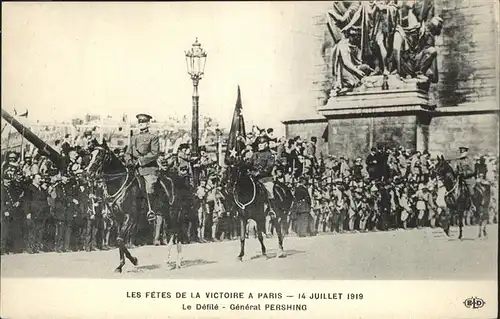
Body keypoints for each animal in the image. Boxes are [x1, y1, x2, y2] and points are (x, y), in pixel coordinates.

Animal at [86, 144, 184, 274]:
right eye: (90, 156)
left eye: (99, 157)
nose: (87, 173)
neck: (120, 183)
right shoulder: (118, 218)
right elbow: (120, 240)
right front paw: (120, 266)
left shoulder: (130, 217)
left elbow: (119, 239)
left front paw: (134, 260)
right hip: (165, 214)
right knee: (172, 233)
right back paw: (168, 261)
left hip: (173, 213)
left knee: (176, 234)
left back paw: (177, 262)